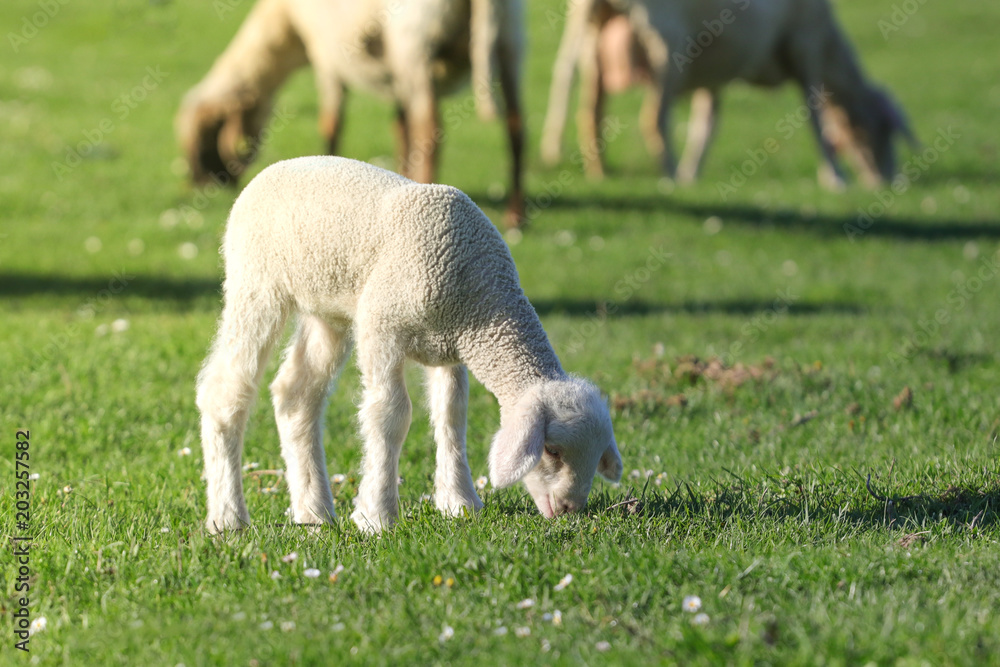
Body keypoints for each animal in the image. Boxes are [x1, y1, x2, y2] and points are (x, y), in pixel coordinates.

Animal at [176, 0, 527, 226]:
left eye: (203, 141)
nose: (201, 187)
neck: (285, 25)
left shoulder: (326, 53)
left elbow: (332, 124)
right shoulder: (393, 76)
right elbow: (400, 127)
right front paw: (400, 179)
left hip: (416, 44)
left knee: (431, 130)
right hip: (509, 42)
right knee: (516, 126)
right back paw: (515, 215)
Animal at [195, 156, 624, 534]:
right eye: (551, 450)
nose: (569, 509)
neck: (483, 300)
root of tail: (273, 168)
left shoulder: (449, 348)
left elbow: (452, 414)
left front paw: (459, 502)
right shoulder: (380, 326)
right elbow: (391, 415)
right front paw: (376, 515)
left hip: (328, 310)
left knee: (296, 394)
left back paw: (314, 513)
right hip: (256, 284)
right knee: (224, 390)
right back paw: (228, 518)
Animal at [541, 0, 915, 189]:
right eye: (884, 130)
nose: (887, 182)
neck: (830, 50)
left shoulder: (716, 72)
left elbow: (705, 127)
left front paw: (693, 173)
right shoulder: (804, 46)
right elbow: (816, 121)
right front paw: (835, 178)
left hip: (596, 33)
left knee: (589, 111)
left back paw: (601, 172)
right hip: (667, 40)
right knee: (654, 119)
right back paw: (669, 177)